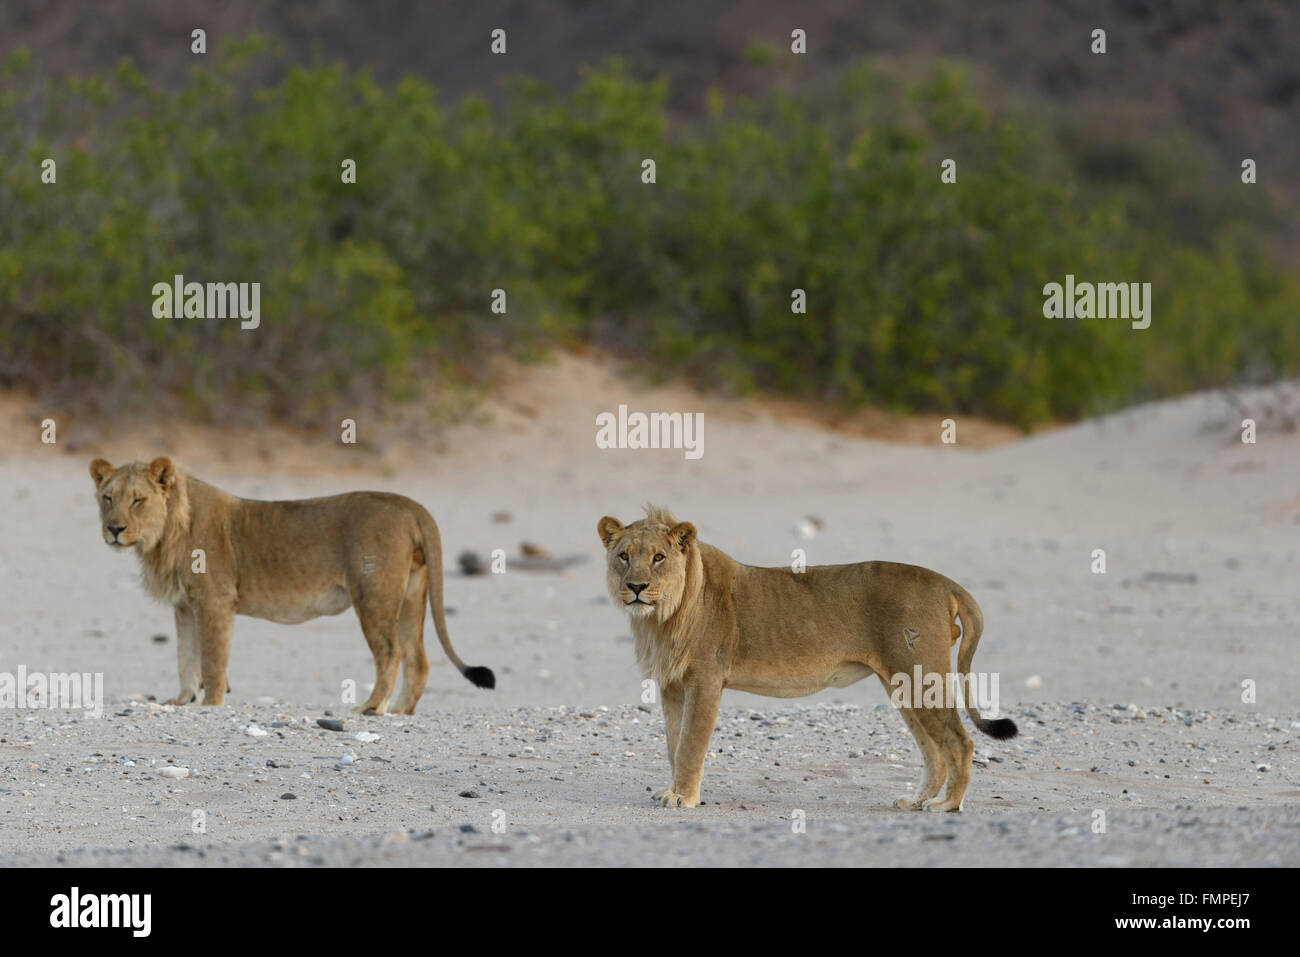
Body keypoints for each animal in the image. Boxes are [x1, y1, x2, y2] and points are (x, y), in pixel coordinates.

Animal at [86, 460, 491, 712]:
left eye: (138, 500)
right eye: (108, 498)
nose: (114, 529)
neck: (164, 533)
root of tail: (408, 503)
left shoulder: (215, 599)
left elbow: (212, 659)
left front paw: (210, 704)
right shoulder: (185, 605)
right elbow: (186, 656)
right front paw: (181, 699)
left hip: (374, 594)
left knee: (391, 652)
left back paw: (372, 708)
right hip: (411, 592)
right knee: (418, 658)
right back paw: (401, 711)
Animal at [595, 504, 1013, 811]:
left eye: (659, 557)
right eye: (624, 556)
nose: (635, 586)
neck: (661, 618)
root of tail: (944, 582)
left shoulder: (706, 680)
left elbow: (690, 745)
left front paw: (682, 797)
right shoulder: (672, 685)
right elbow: (673, 743)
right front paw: (674, 790)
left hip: (920, 675)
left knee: (960, 742)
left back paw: (947, 806)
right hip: (902, 683)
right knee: (934, 750)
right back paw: (916, 801)